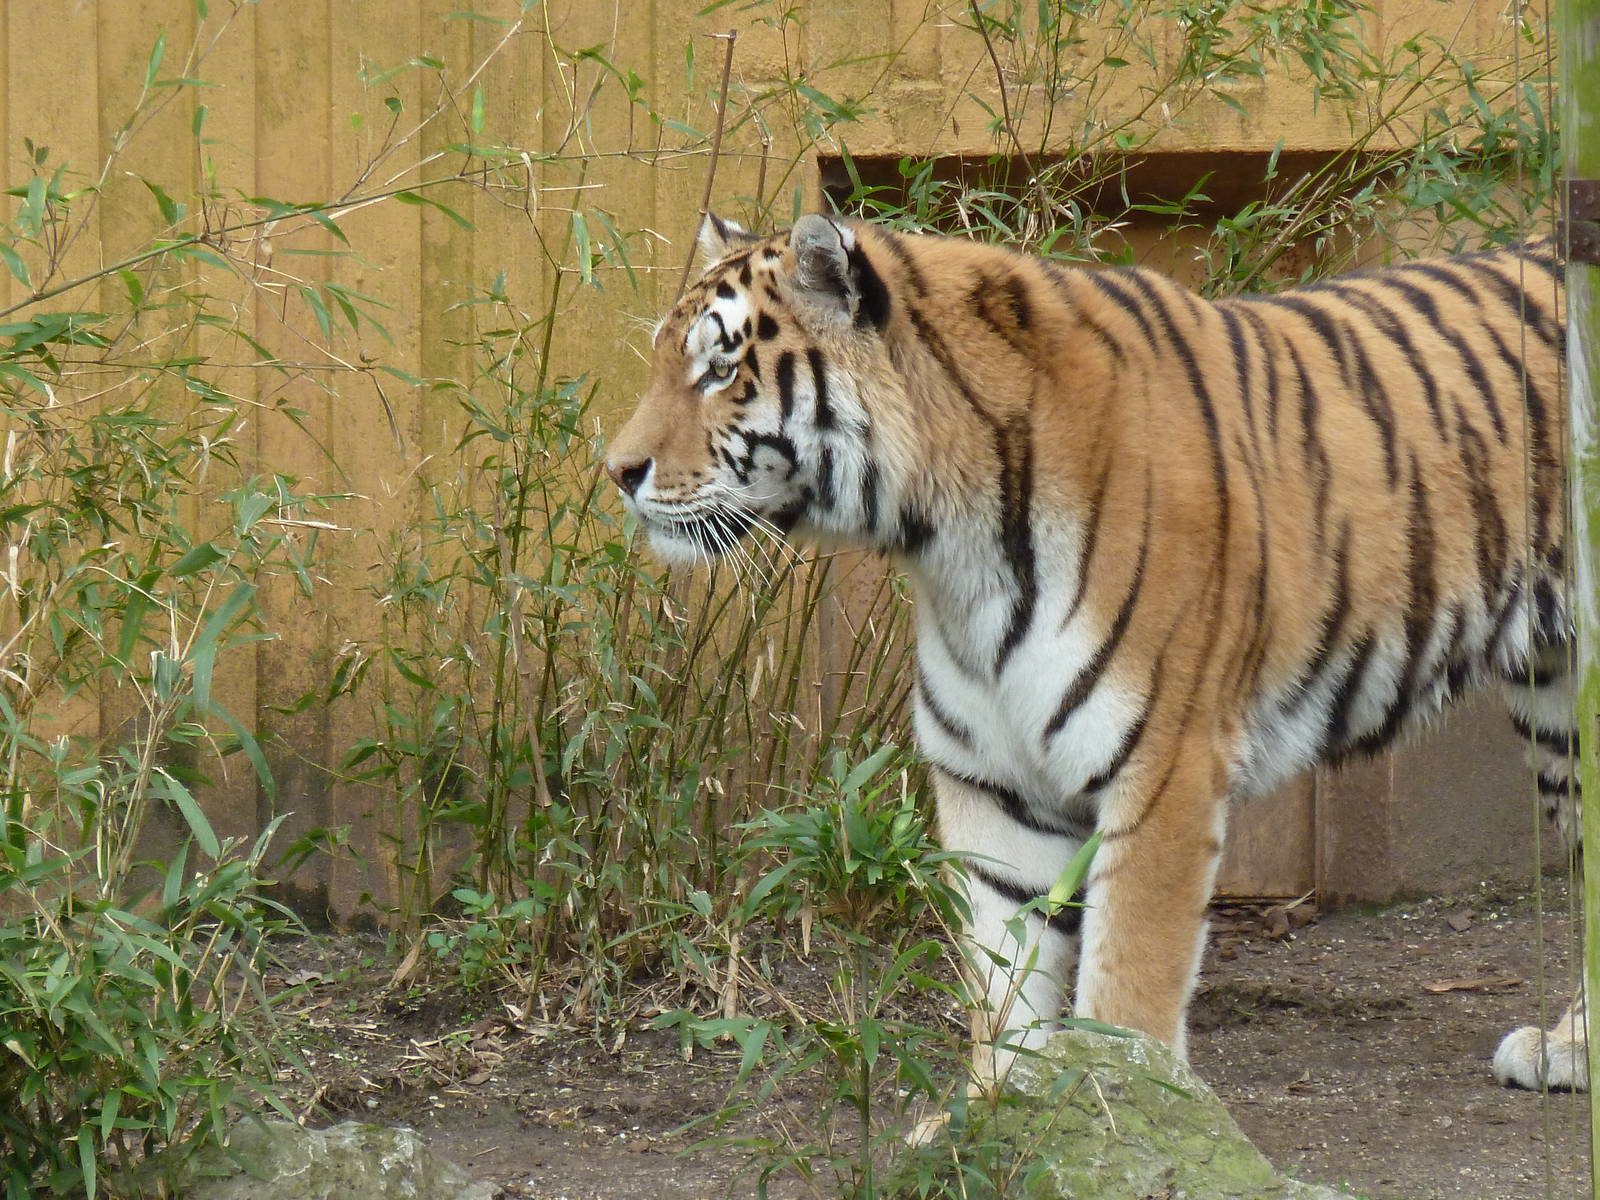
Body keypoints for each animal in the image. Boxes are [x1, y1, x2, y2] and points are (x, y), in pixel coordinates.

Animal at [605, 211, 1584, 1099]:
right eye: (659, 360)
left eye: (720, 368)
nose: (616, 471)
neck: (950, 548)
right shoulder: (990, 783)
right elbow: (1005, 991)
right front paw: (996, 1126)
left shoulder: (1166, 768)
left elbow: (1127, 987)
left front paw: (1141, 1123)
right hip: (1560, 705)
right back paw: (1571, 1052)